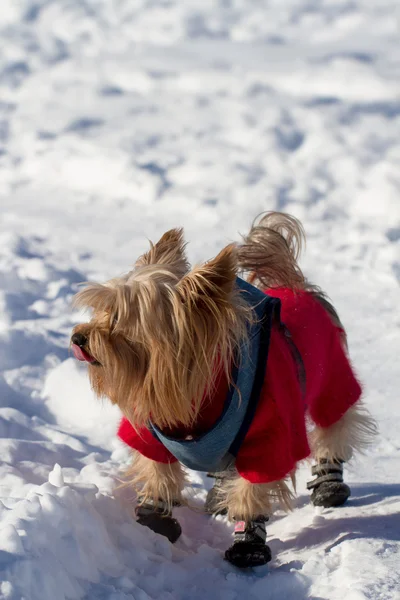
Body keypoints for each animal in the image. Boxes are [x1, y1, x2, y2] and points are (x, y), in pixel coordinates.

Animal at [71, 213, 376, 568]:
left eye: (119, 318)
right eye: (102, 310)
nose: (78, 337)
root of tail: (295, 286)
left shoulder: (270, 436)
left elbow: (252, 489)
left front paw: (248, 543)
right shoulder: (151, 431)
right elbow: (158, 470)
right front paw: (155, 519)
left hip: (332, 379)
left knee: (335, 427)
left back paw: (329, 483)